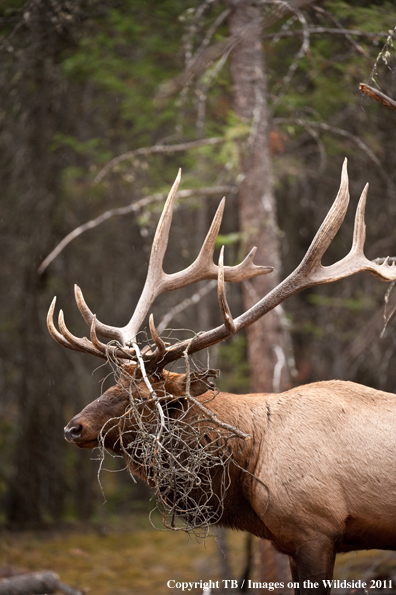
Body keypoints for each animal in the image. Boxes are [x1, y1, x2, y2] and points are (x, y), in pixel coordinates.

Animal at [48, 161, 396, 592]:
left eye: (145, 398)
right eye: (114, 385)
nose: (74, 428)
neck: (251, 467)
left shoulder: (316, 530)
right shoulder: (291, 543)